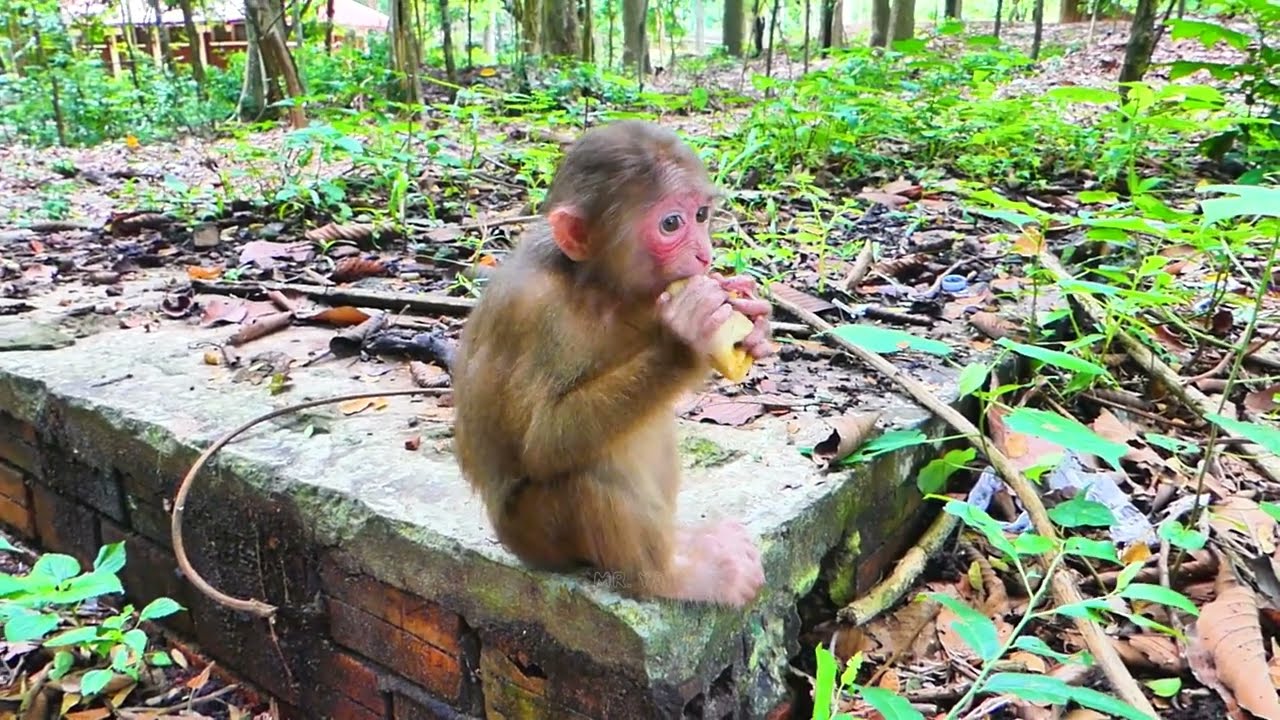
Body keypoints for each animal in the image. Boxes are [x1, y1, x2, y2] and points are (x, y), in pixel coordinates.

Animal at [450, 120, 774, 607]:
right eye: (671, 223)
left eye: (701, 216)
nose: (704, 255)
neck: (592, 288)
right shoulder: (529, 312)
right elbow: (542, 444)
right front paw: (687, 342)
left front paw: (751, 315)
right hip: (535, 535)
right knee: (585, 469)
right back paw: (670, 577)